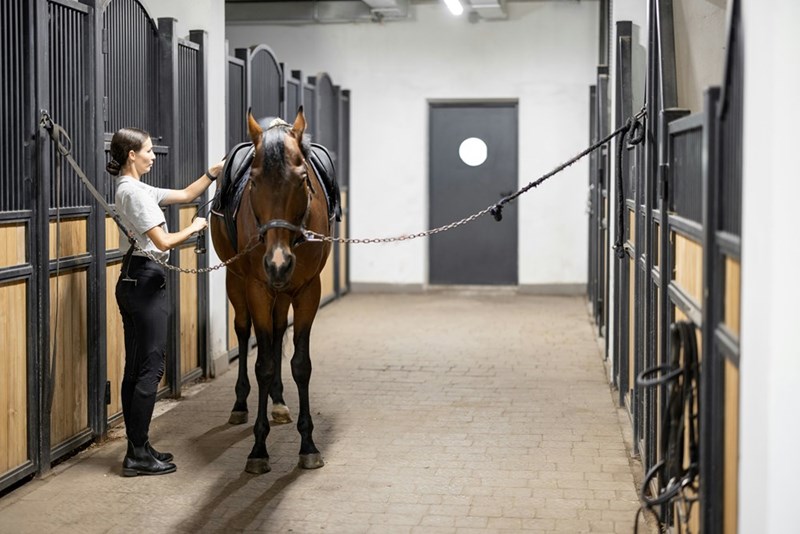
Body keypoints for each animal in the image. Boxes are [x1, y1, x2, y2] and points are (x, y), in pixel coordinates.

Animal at [210, 108, 331, 474]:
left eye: (303, 179)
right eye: (253, 181)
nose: (278, 263)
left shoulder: (308, 290)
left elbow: (300, 364)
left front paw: (308, 445)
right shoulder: (258, 289)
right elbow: (261, 364)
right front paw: (258, 449)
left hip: (283, 292)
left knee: (278, 334)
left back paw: (278, 403)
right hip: (236, 280)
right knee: (243, 329)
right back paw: (240, 405)